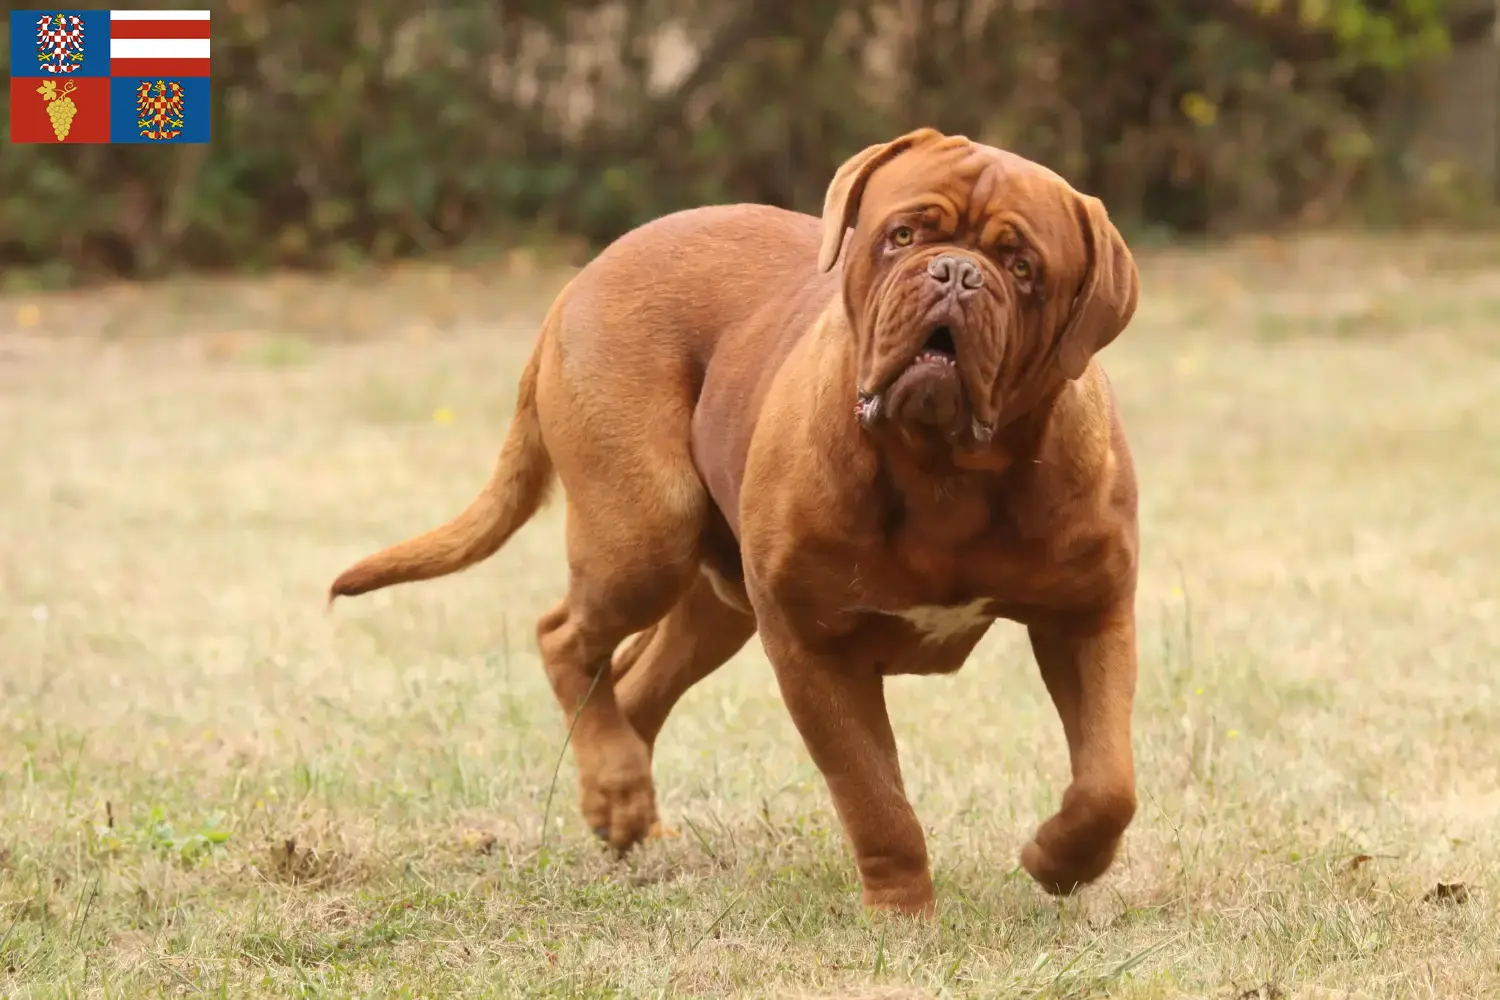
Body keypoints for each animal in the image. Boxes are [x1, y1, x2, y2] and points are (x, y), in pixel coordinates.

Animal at [331, 128, 1134, 917]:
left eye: (1023, 267)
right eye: (902, 235)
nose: (957, 274)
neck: (943, 471)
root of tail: (582, 279)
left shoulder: (1089, 614)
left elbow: (1109, 782)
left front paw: (1058, 860)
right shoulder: (811, 646)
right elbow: (873, 795)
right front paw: (903, 913)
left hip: (717, 599)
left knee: (631, 682)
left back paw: (621, 804)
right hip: (645, 536)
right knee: (564, 637)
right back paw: (618, 786)